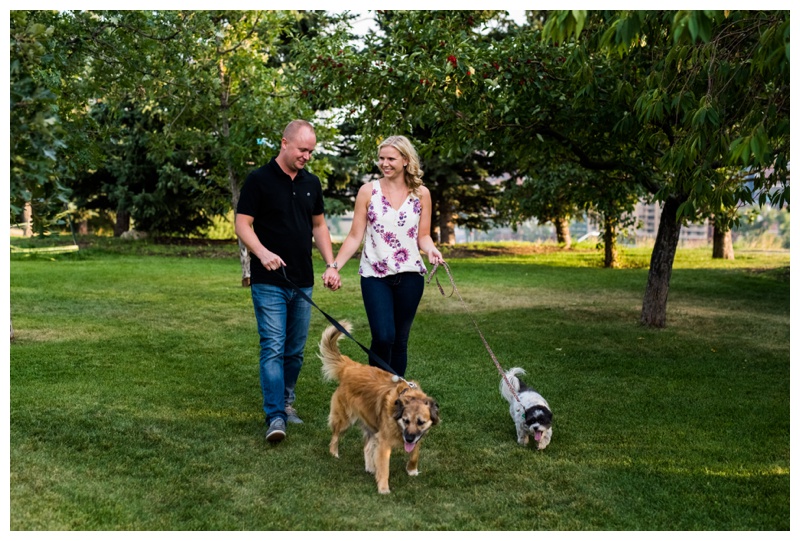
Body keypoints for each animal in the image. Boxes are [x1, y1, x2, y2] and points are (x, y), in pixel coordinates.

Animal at [318, 320, 440, 494]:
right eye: (405, 420)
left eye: (421, 422)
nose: (408, 439)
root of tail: (350, 367)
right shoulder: (384, 442)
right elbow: (384, 467)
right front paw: (383, 488)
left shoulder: (417, 436)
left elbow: (414, 453)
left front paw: (412, 470)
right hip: (344, 420)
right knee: (335, 437)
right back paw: (334, 453)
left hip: (371, 421)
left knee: (367, 446)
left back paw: (370, 466)